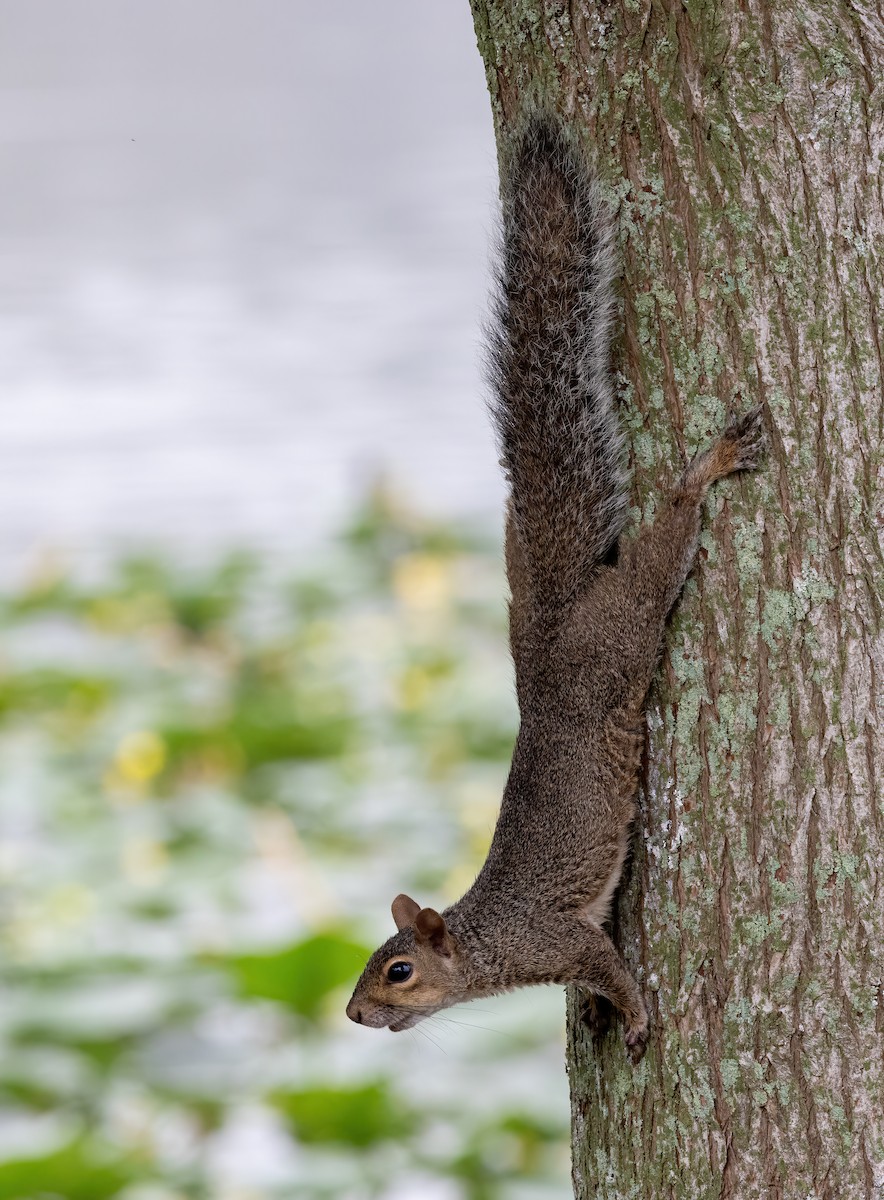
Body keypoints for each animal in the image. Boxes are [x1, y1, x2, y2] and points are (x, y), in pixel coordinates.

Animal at [346, 115, 763, 1062]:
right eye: (369, 964)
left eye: (398, 971)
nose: (351, 1014)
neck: (488, 944)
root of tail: (548, 642)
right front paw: (606, 1017)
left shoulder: (562, 937)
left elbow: (609, 967)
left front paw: (635, 1016)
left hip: (624, 625)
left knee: (661, 550)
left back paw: (705, 472)